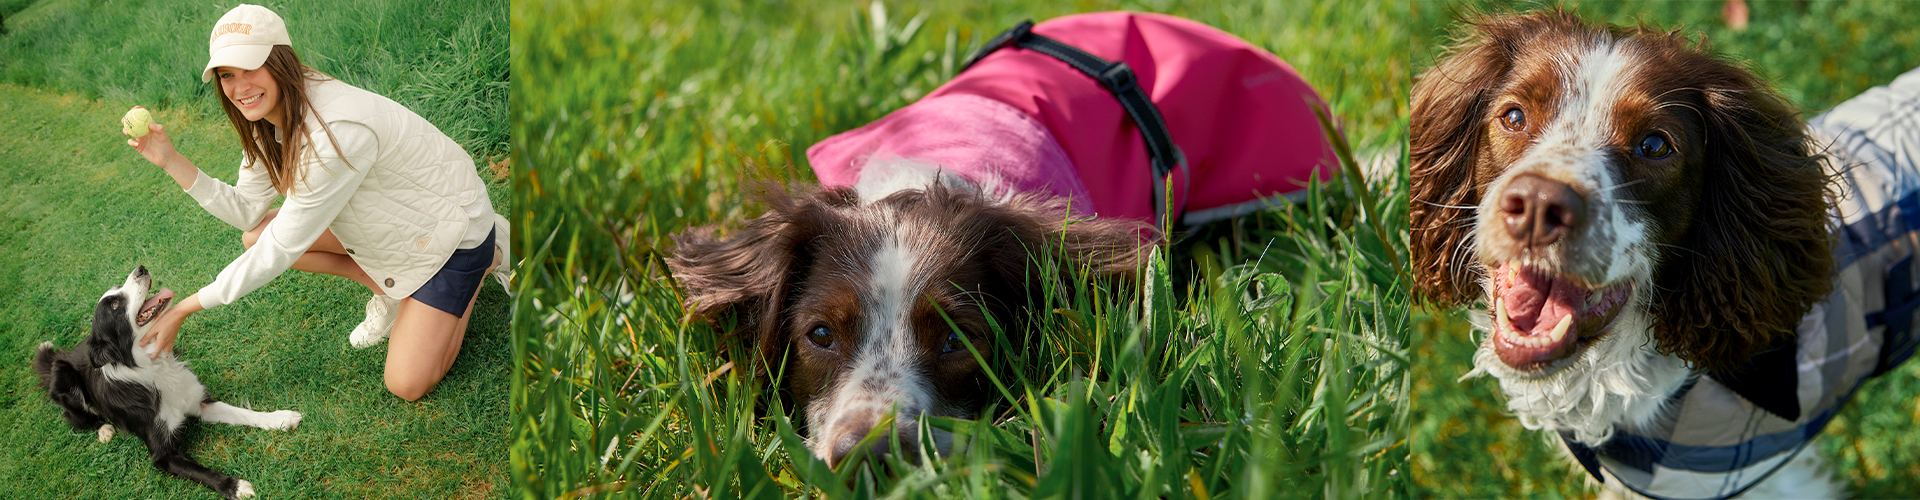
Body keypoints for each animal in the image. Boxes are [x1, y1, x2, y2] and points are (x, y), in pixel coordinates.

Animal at [30, 267, 301, 496]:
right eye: (115, 305)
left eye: (117, 288)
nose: (140, 269)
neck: (155, 368)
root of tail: (62, 356)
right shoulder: (162, 454)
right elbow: (201, 472)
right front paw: (235, 487)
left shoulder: (200, 402)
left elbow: (243, 413)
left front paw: (280, 419)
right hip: (64, 378)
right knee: (75, 417)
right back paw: (104, 428)